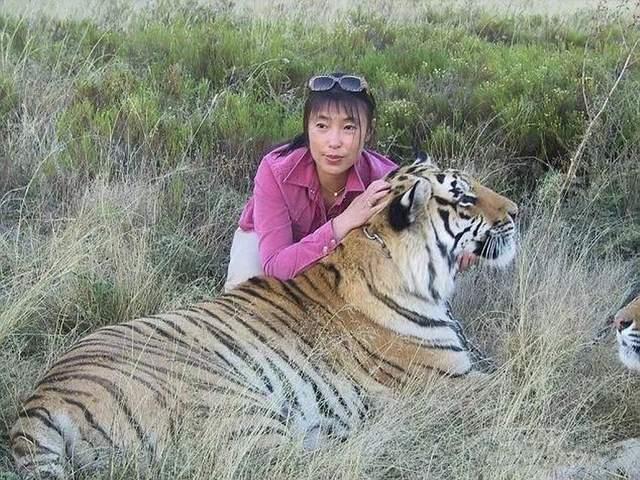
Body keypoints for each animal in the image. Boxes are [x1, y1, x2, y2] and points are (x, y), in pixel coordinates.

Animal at [10, 156, 518, 479]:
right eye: (464, 197)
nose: (518, 211)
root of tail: (37, 403)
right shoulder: (448, 384)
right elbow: (513, 385)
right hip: (237, 407)